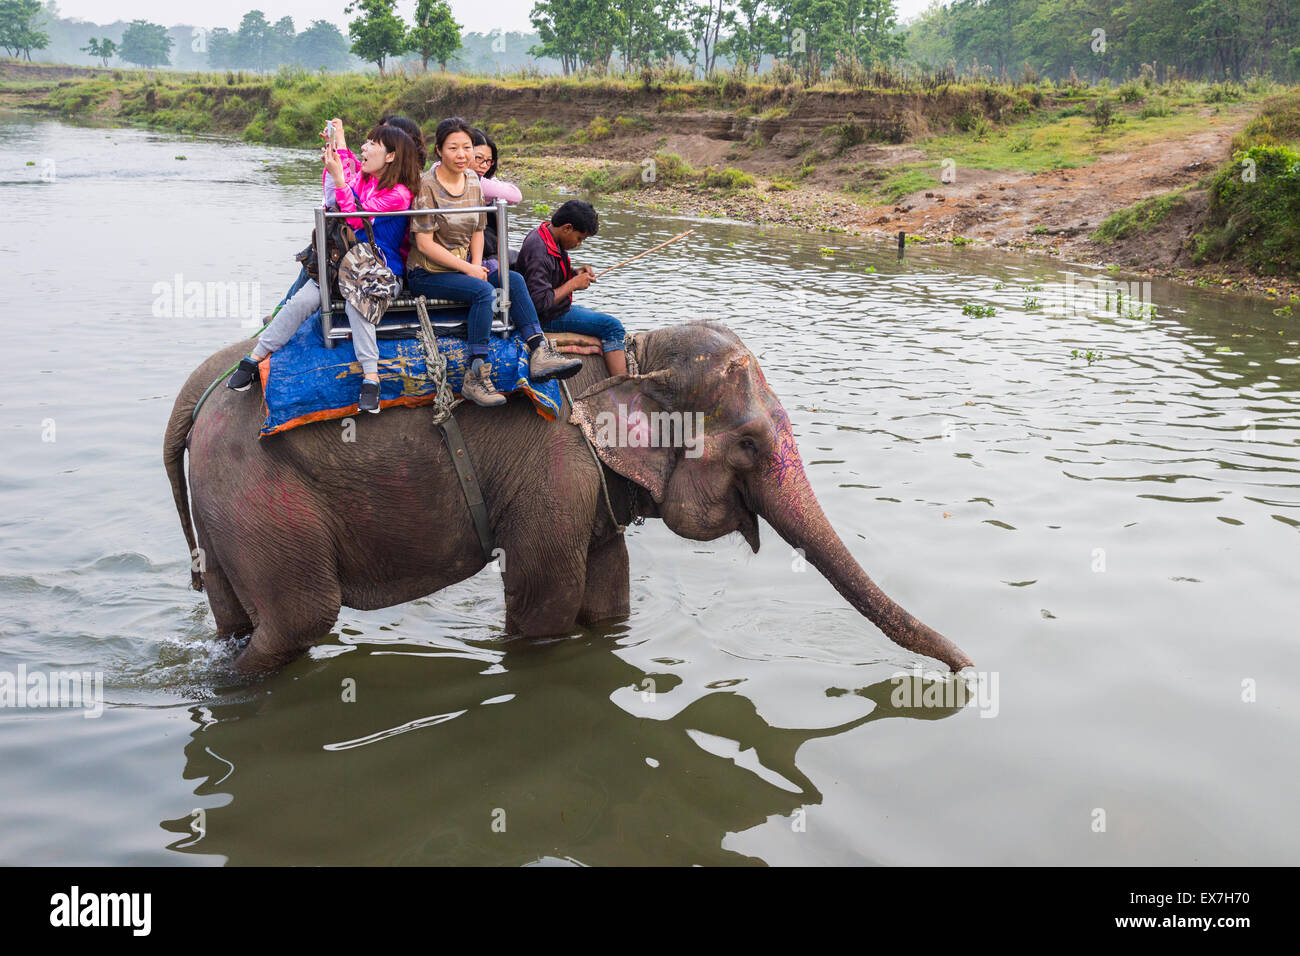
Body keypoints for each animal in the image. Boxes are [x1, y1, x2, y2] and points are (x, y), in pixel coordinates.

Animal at [163, 320, 973, 675]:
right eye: (747, 444)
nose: (965, 671)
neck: (634, 355)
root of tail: (197, 393)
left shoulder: (592, 490)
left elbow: (608, 595)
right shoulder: (553, 469)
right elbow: (544, 604)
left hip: (228, 507)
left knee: (239, 617)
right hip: (261, 495)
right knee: (299, 619)